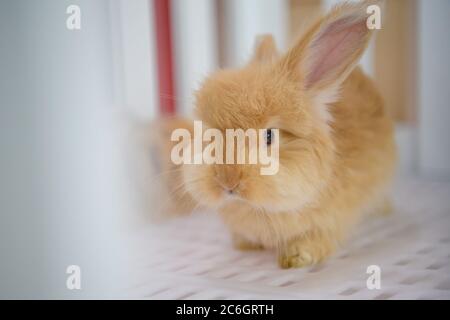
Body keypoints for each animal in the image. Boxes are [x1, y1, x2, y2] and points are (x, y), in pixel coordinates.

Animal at [163, 0, 396, 268]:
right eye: (210, 135)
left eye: (269, 136)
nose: (227, 182)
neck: (260, 208)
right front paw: (245, 244)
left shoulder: (331, 222)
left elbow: (317, 240)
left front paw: (296, 257)